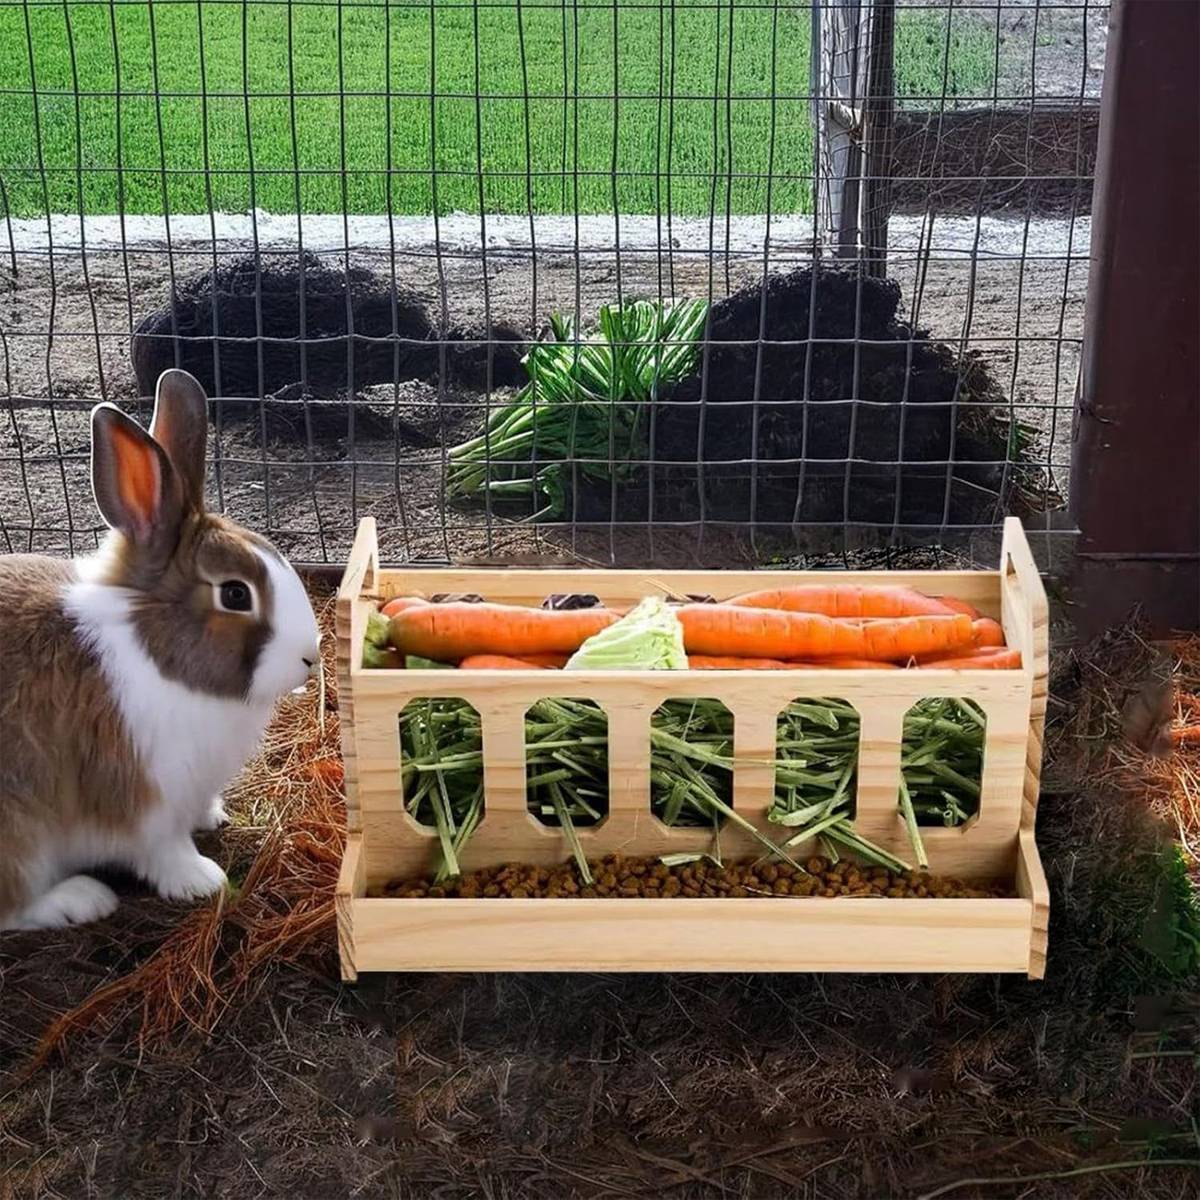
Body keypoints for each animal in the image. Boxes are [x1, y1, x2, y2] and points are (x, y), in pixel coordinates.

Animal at [0, 369, 321, 931]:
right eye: (235, 594)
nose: (311, 655)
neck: (154, 656)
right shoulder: (144, 800)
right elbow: (163, 849)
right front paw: (202, 880)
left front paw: (212, 817)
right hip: (18, 832)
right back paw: (81, 898)